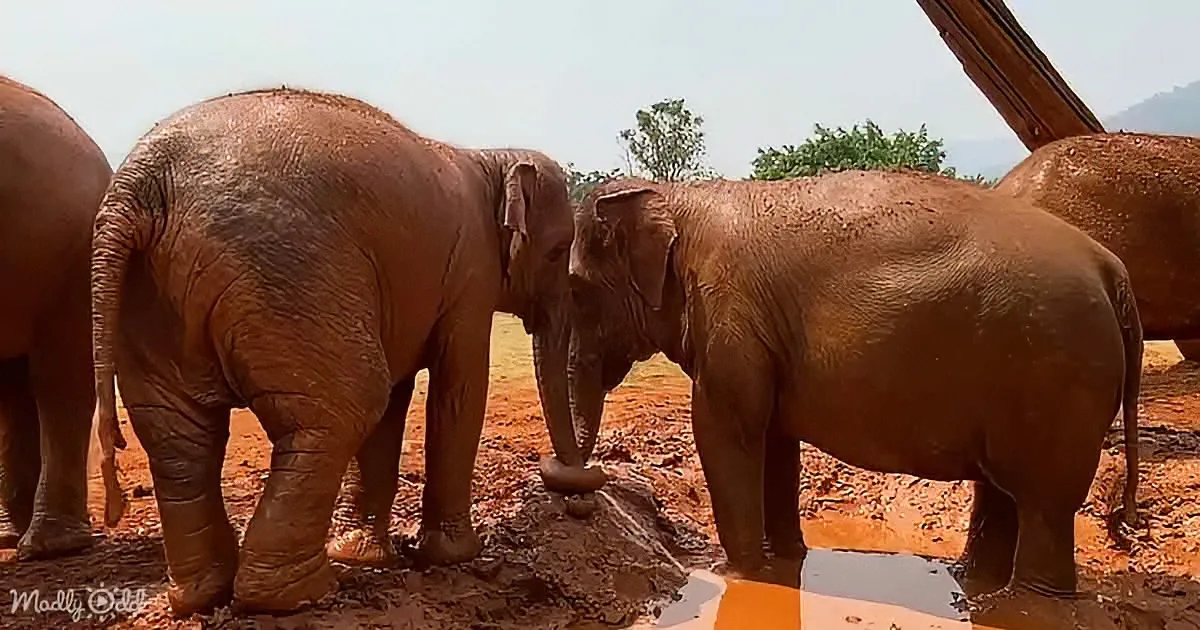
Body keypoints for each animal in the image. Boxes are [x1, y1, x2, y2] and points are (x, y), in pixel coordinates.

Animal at [90, 87, 599, 616]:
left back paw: (206, 594)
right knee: (344, 406)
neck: (491, 156)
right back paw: (299, 594)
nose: (582, 494)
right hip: (290, 277)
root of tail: (138, 184)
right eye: (558, 252)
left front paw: (366, 556)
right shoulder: (471, 274)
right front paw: (454, 556)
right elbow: (456, 389)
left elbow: (398, 398)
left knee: (178, 435)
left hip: (150, 300)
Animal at [549, 171, 1142, 598]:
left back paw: (1030, 601)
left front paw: (737, 575)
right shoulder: (764, 336)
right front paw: (785, 564)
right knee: (1000, 493)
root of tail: (1112, 270)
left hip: (1056, 373)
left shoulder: (730, 316)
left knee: (1043, 505)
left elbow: (727, 433)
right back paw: (977, 587)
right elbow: (775, 444)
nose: (578, 486)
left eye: (575, 288)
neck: (677, 197)